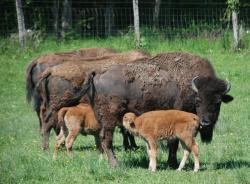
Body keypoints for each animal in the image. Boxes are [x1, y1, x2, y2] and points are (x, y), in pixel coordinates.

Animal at [51, 51, 233, 167]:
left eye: (218, 102)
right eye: (198, 100)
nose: (206, 123)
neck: (190, 86)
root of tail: (97, 73)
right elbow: (173, 142)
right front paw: (172, 163)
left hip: (100, 116)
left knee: (101, 139)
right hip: (110, 118)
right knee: (106, 139)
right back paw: (116, 164)